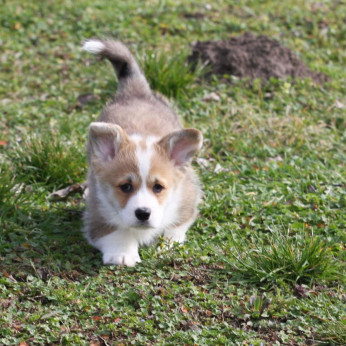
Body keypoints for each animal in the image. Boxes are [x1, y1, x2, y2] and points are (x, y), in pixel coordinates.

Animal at [82, 37, 203, 266]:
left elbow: (175, 228)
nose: (143, 213)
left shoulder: (185, 199)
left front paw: (167, 246)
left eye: (158, 187)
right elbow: (116, 233)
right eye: (126, 187)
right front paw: (122, 254)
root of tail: (136, 91)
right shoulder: (98, 211)